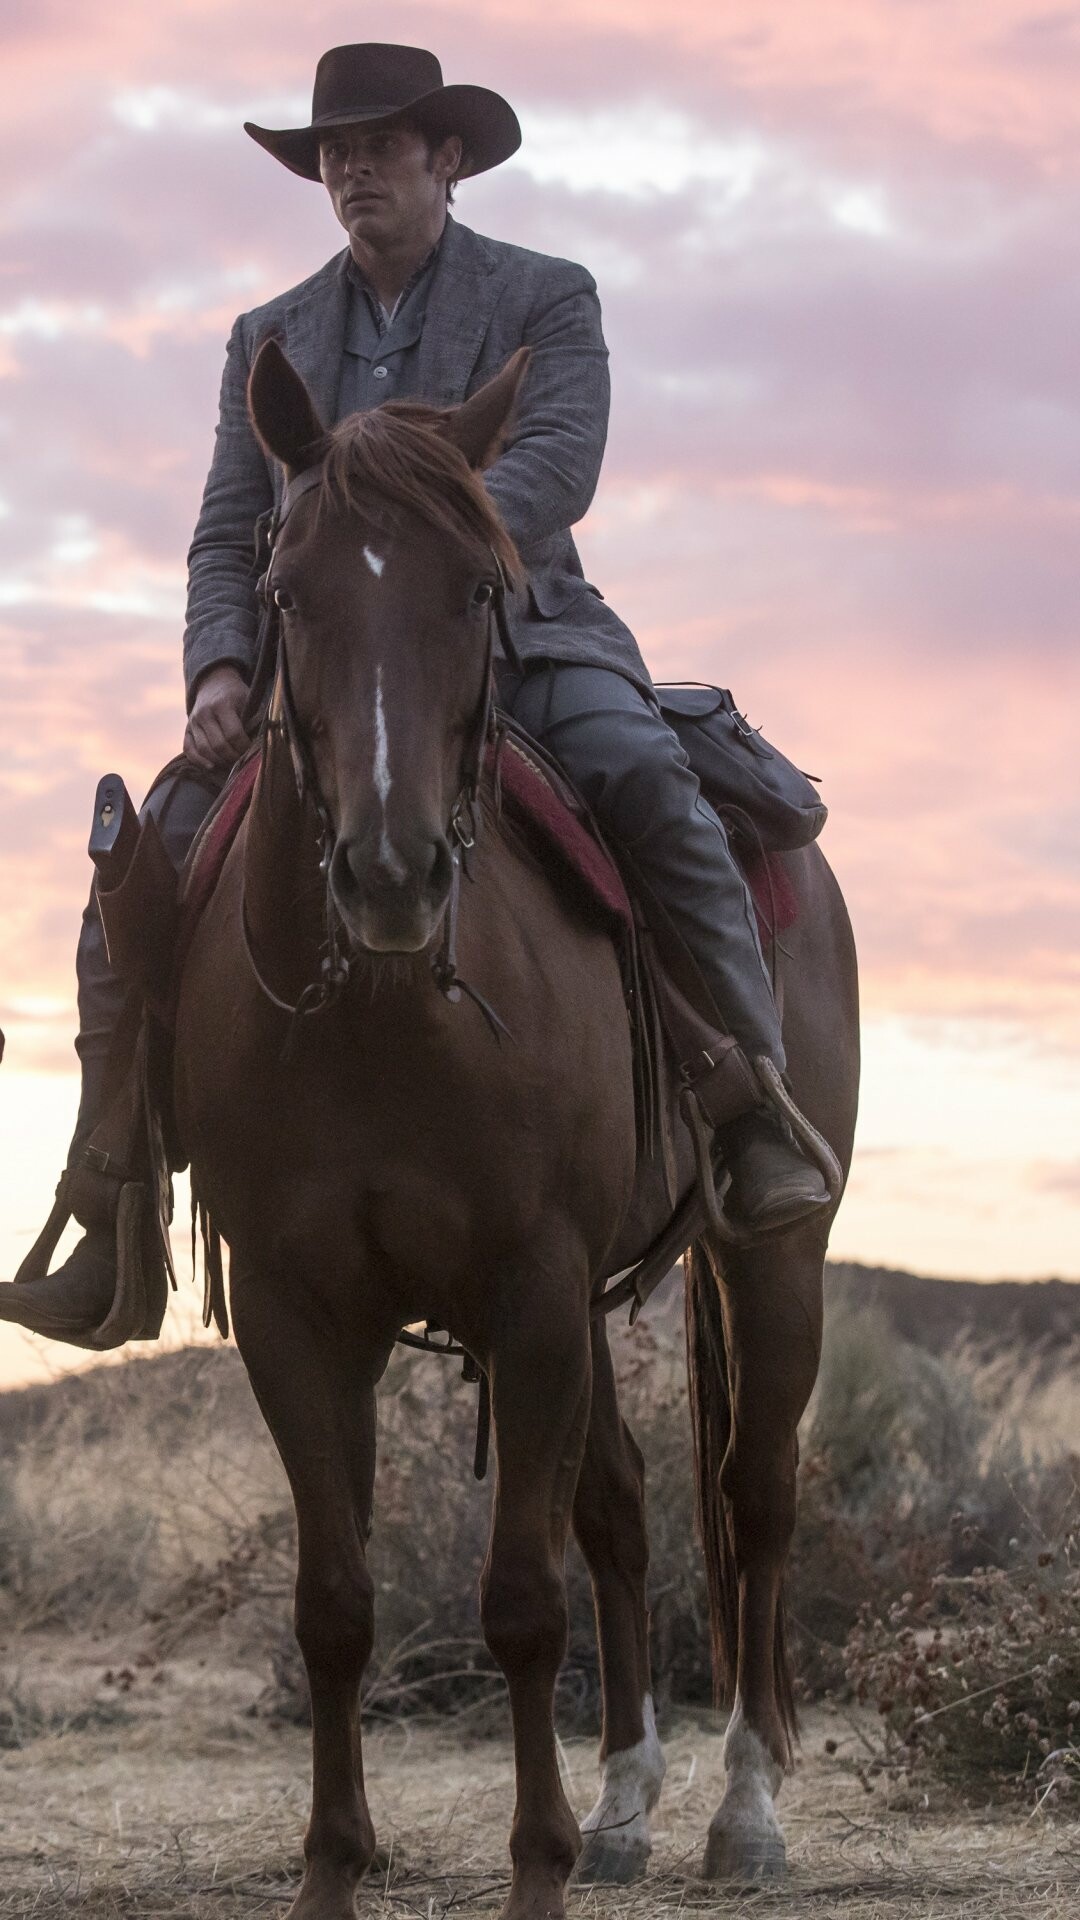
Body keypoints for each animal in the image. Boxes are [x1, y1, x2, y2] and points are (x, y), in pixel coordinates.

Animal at [171, 345, 853, 1920]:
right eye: (286, 588)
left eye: (479, 586)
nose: (390, 872)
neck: (383, 1018)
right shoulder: (303, 1313)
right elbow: (336, 1604)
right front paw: (334, 1868)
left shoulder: (531, 1288)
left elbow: (522, 1603)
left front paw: (534, 1866)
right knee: (625, 1505)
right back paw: (624, 1806)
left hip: (763, 1257)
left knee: (756, 1496)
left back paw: (742, 1814)